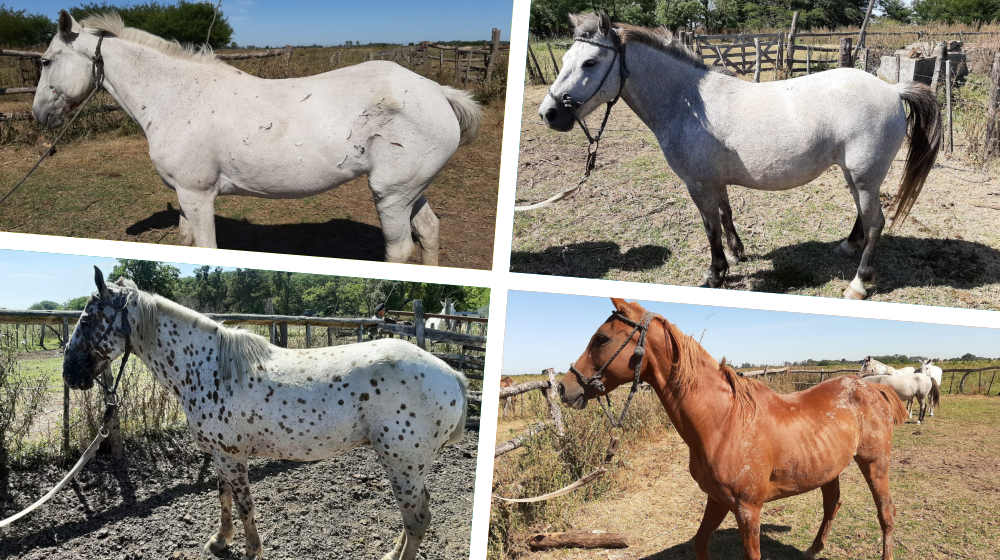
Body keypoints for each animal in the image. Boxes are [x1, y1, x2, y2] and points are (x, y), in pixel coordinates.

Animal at [33, 11, 482, 265]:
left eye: (46, 61)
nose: (39, 115)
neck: (177, 96)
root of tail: (438, 91)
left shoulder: (198, 196)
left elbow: (206, 249)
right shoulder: (184, 196)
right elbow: (184, 241)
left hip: (390, 195)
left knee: (400, 250)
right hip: (409, 191)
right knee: (429, 231)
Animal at [63, 267, 468, 560]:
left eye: (86, 321)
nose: (70, 374)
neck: (208, 367)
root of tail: (454, 376)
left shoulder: (232, 457)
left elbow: (244, 507)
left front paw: (250, 550)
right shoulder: (222, 456)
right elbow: (224, 499)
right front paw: (220, 541)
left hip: (402, 463)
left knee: (416, 520)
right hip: (410, 466)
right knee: (417, 515)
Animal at [538, 12, 941, 299]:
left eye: (590, 63)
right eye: (565, 57)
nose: (549, 114)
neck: (688, 104)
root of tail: (893, 89)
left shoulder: (697, 184)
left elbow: (710, 226)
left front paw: (715, 274)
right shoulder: (714, 180)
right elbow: (726, 213)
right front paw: (737, 253)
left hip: (864, 175)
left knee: (876, 223)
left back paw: (858, 284)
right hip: (857, 175)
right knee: (863, 213)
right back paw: (847, 246)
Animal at [559, 298, 907, 560]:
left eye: (601, 338)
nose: (564, 387)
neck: (725, 423)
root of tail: (872, 387)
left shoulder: (747, 509)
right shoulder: (717, 500)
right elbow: (700, 543)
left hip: (875, 463)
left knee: (886, 513)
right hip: (828, 468)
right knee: (832, 504)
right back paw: (812, 551)